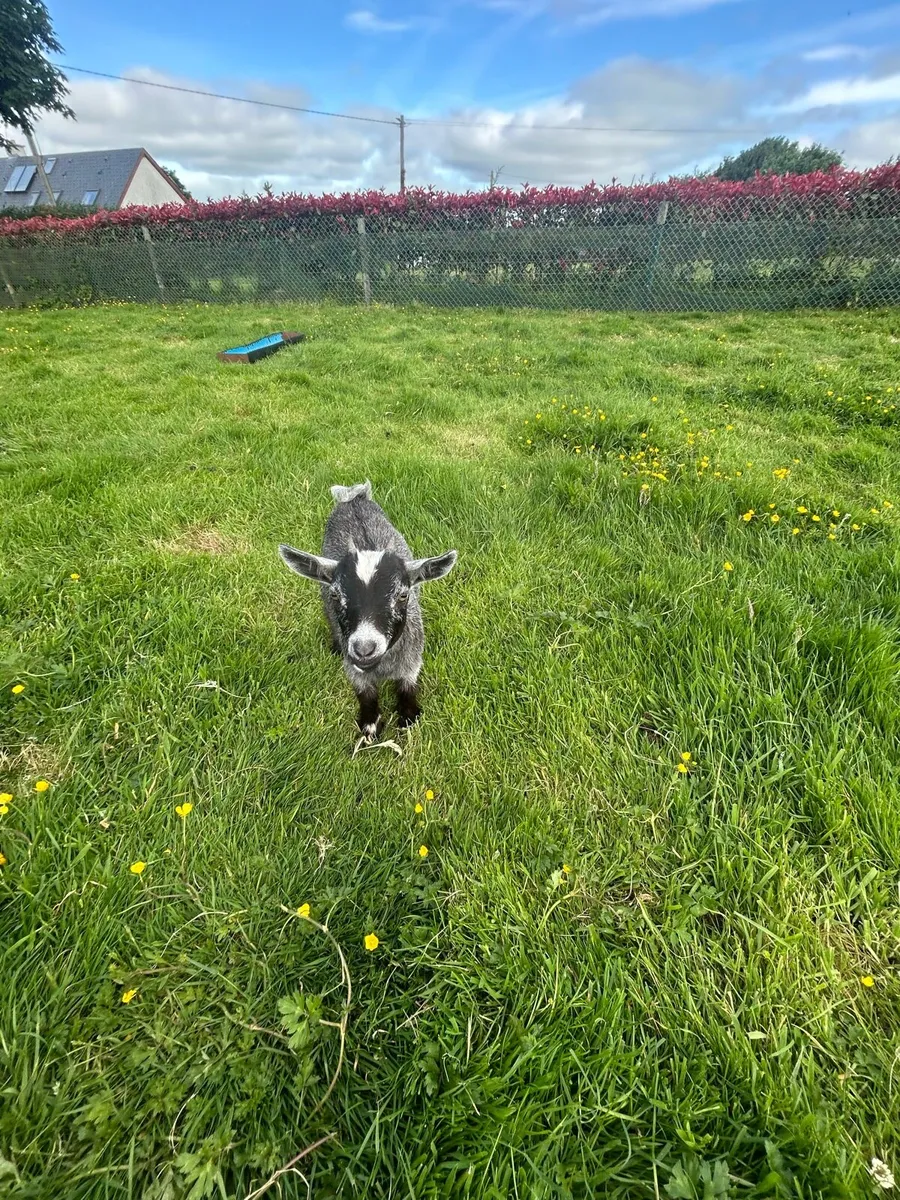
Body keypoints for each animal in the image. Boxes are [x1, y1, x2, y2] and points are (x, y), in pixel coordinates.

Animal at [279, 482, 456, 739]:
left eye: (403, 595)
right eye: (336, 594)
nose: (364, 649)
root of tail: (354, 498)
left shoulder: (412, 661)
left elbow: (408, 686)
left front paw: (408, 716)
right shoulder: (355, 671)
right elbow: (366, 694)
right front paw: (370, 726)